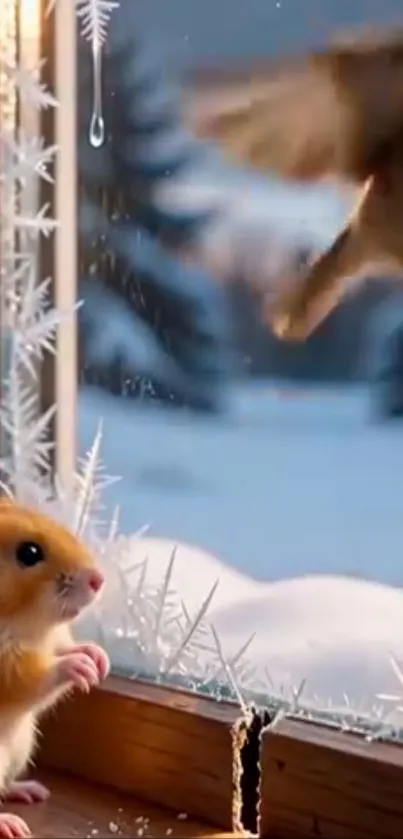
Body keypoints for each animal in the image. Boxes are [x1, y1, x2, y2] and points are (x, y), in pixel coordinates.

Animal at [0, 498, 110, 838]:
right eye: (29, 553)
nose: (99, 579)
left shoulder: (53, 639)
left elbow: (64, 646)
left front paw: (96, 657)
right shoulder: (9, 670)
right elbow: (34, 679)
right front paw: (79, 666)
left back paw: (28, 790)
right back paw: (9, 824)